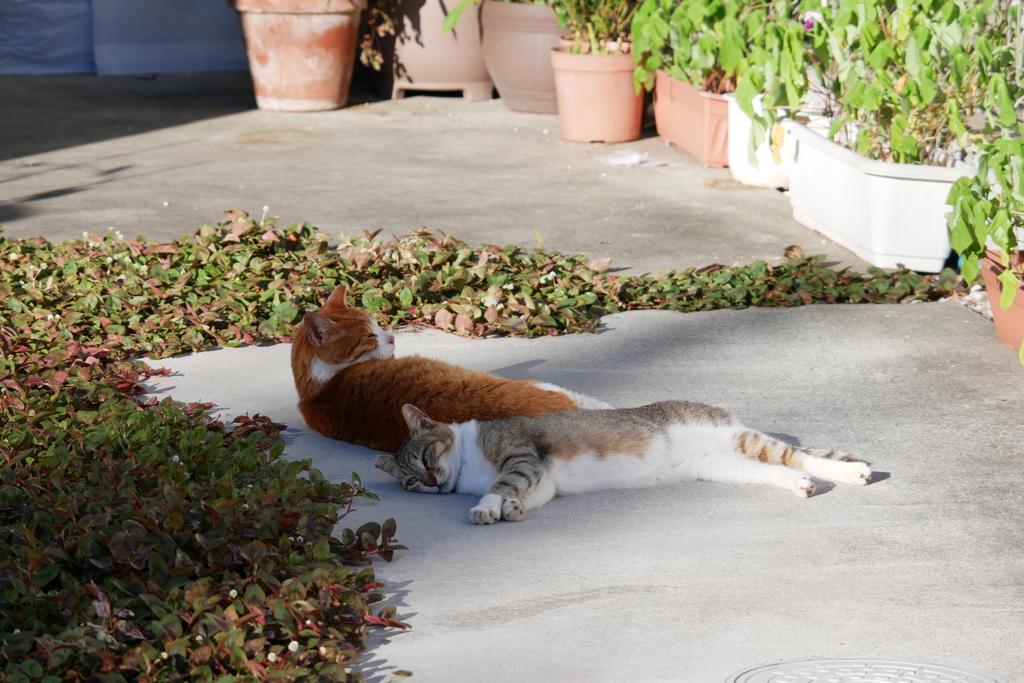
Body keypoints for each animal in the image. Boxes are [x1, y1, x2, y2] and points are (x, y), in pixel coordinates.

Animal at [376, 397, 872, 528]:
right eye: (409, 483)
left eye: (426, 455)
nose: (430, 481)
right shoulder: (543, 478)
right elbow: (525, 493)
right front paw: (509, 509)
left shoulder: (521, 453)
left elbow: (502, 483)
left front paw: (485, 507)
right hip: (722, 465)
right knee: (780, 469)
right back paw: (800, 485)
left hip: (739, 439)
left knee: (794, 454)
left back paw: (851, 472)